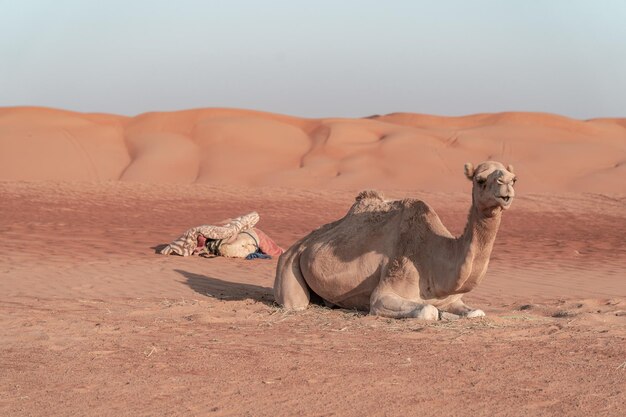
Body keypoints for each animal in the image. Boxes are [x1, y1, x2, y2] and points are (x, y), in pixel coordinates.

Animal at [274, 161, 516, 320]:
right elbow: (428, 311)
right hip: (288, 264)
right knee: (295, 305)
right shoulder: (384, 294)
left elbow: (476, 312)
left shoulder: (451, 300)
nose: (506, 185)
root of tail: (298, 245)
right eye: (480, 179)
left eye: (514, 178)